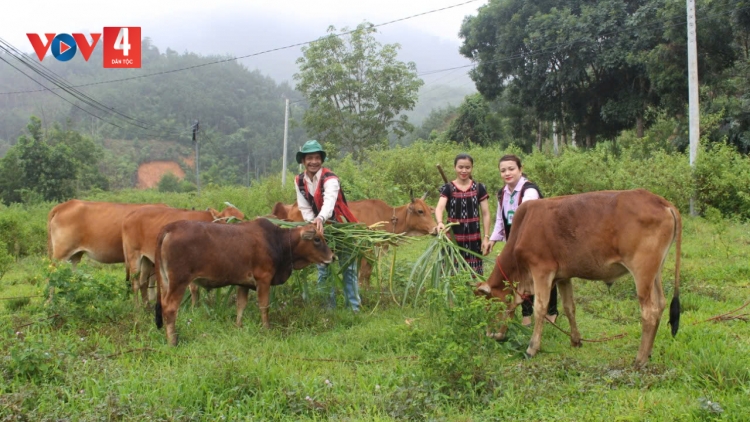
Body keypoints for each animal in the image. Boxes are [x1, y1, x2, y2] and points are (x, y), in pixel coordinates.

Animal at [154, 218, 334, 346]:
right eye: (317, 239)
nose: (332, 257)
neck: (277, 242)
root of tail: (170, 228)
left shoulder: (243, 284)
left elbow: (241, 305)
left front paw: (238, 327)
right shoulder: (263, 279)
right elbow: (264, 306)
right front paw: (267, 328)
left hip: (165, 282)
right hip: (178, 282)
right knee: (170, 308)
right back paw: (173, 341)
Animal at [478, 190, 684, 368]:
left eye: (490, 307)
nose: (489, 334)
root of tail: (661, 201)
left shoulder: (541, 270)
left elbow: (540, 308)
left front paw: (531, 348)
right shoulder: (563, 276)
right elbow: (569, 307)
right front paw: (576, 340)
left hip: (642, 271)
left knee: (649, 311)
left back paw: (640, 359)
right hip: (655, 272)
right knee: (660, 304)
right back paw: (648, 353)